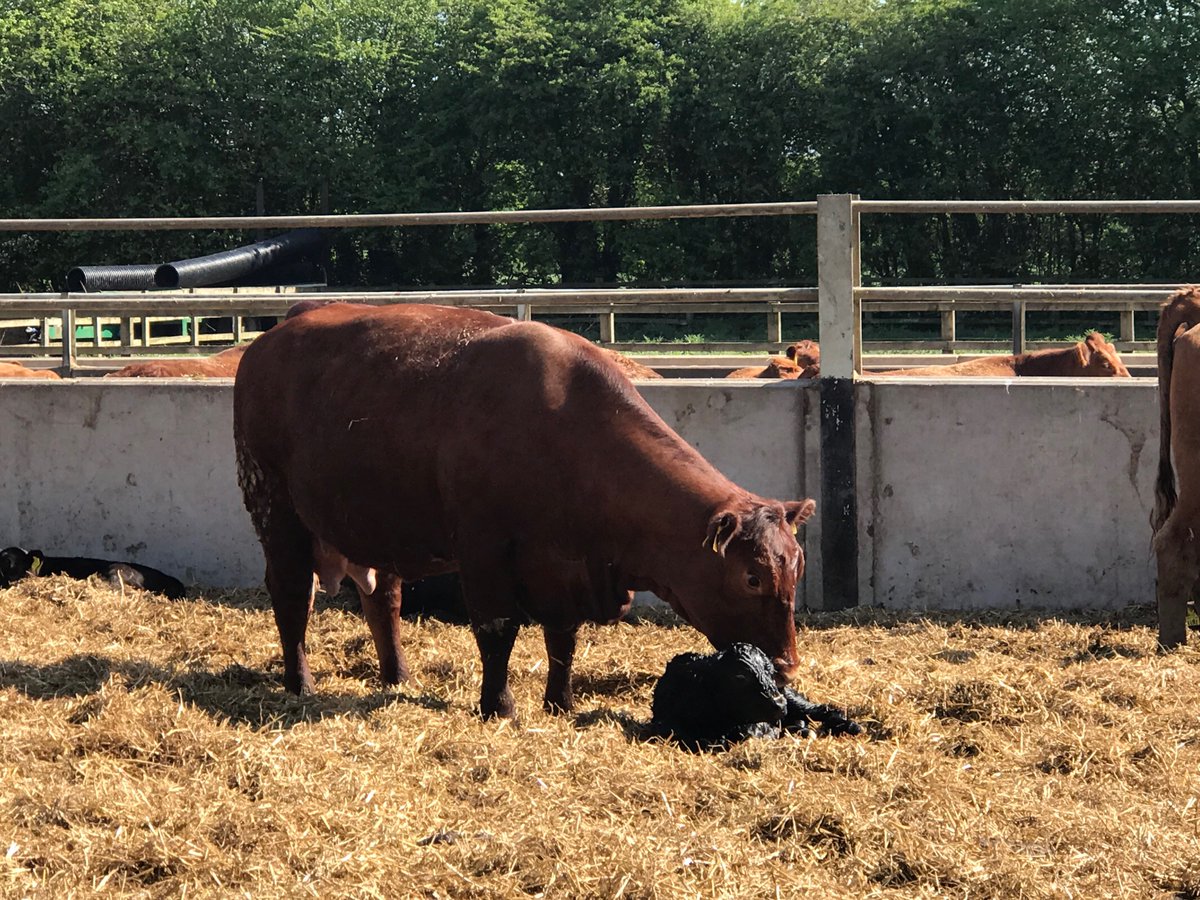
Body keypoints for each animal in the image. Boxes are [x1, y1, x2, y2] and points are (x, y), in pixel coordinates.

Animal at [234, 303, 816, 718]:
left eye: (796, 568)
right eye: (751, 578)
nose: (786, 668)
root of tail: (272, 338)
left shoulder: (565, 567)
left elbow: (563, 638)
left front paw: (560, 702)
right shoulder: (483, 548)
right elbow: (497, 629)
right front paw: (499, 706)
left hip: (377, 530)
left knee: (384, 601)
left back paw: (398, 675)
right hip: (273, 508)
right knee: (292, 597)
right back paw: (300, 683)